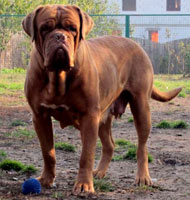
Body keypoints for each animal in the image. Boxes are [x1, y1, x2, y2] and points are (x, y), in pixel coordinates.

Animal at [21, 4, 181, 195]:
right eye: (45, 28)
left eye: (72, 29)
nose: (60, 36)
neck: (58, 77)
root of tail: (136, 45)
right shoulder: (40, 116)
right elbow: (48, 152)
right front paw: (46, 180)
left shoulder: (89, 117)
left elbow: (86, 155)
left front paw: (83, 185)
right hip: (103, 118)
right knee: (109, 145)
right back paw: (99, 172)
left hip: (140, 107)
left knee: (142, 146)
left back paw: (142, 177)